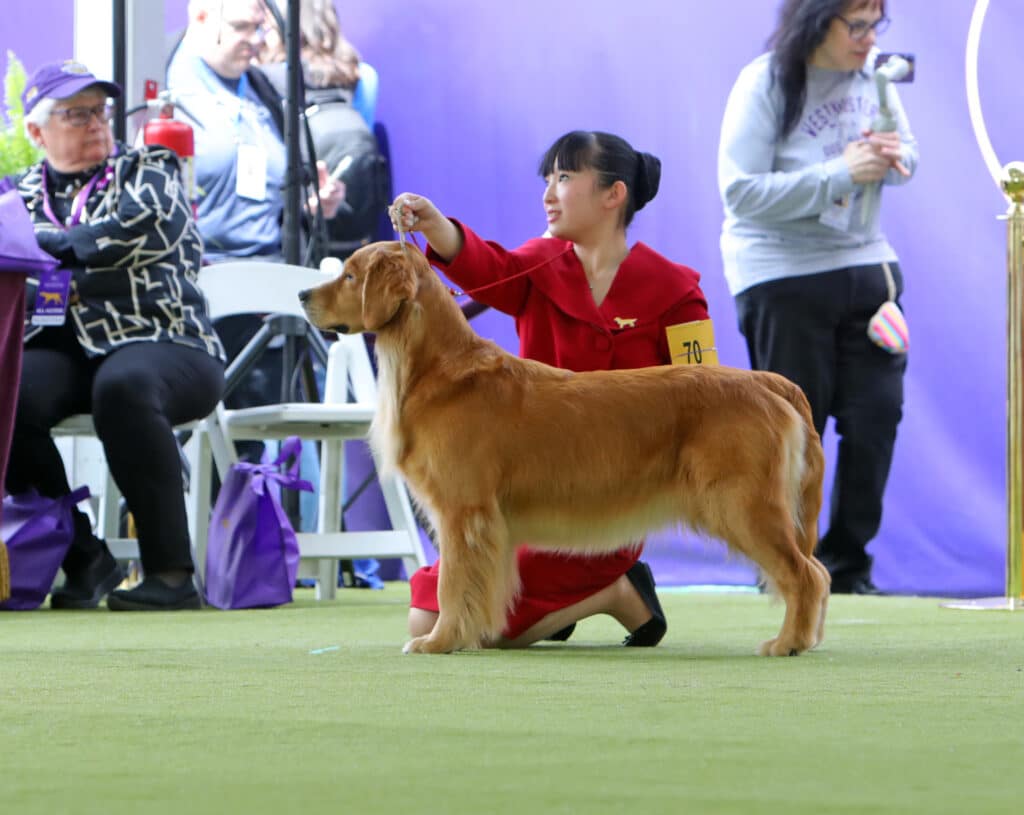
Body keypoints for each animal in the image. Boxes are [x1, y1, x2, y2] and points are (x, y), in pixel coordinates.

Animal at [299, 240, 827, 655]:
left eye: (349, 275)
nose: (302, 294)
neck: (436, 369)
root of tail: (767, 381)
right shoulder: (487, 523)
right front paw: (475, 635)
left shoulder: (462, 511)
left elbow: (451, 585)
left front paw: (439, 640)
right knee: (816, 570)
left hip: (743, 504)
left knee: (804, 573)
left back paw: (788, 643)